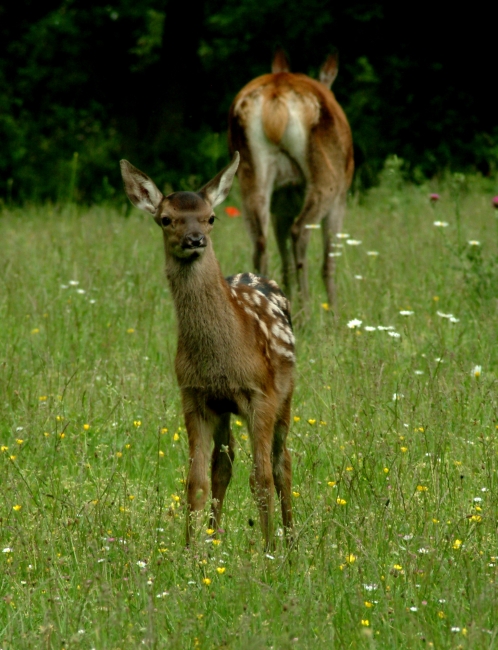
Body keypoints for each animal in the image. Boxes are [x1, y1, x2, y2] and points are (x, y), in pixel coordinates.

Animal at [119, 152, 294, 548]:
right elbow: (195, 482)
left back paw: (292, 541)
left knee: (282, 464)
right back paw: (215, 539)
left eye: (210, 217)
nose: (195, 239)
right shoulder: (194, 395)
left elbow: (261, 480)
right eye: (166, 219)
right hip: (224, 407)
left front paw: (270, 551)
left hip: (286, 395)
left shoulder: (260, 392)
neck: (220, 360)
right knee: (223, 463)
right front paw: (190, 550)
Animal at [230, 49, 354, 306]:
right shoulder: (341, 197)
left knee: (260, 242)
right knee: (301, 232)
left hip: (250, 173)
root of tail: (275, 101)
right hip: (328, 178)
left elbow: (284, 258)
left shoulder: (282, 206)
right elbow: (329, 262)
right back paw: (306, 308)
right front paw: (335, 311)